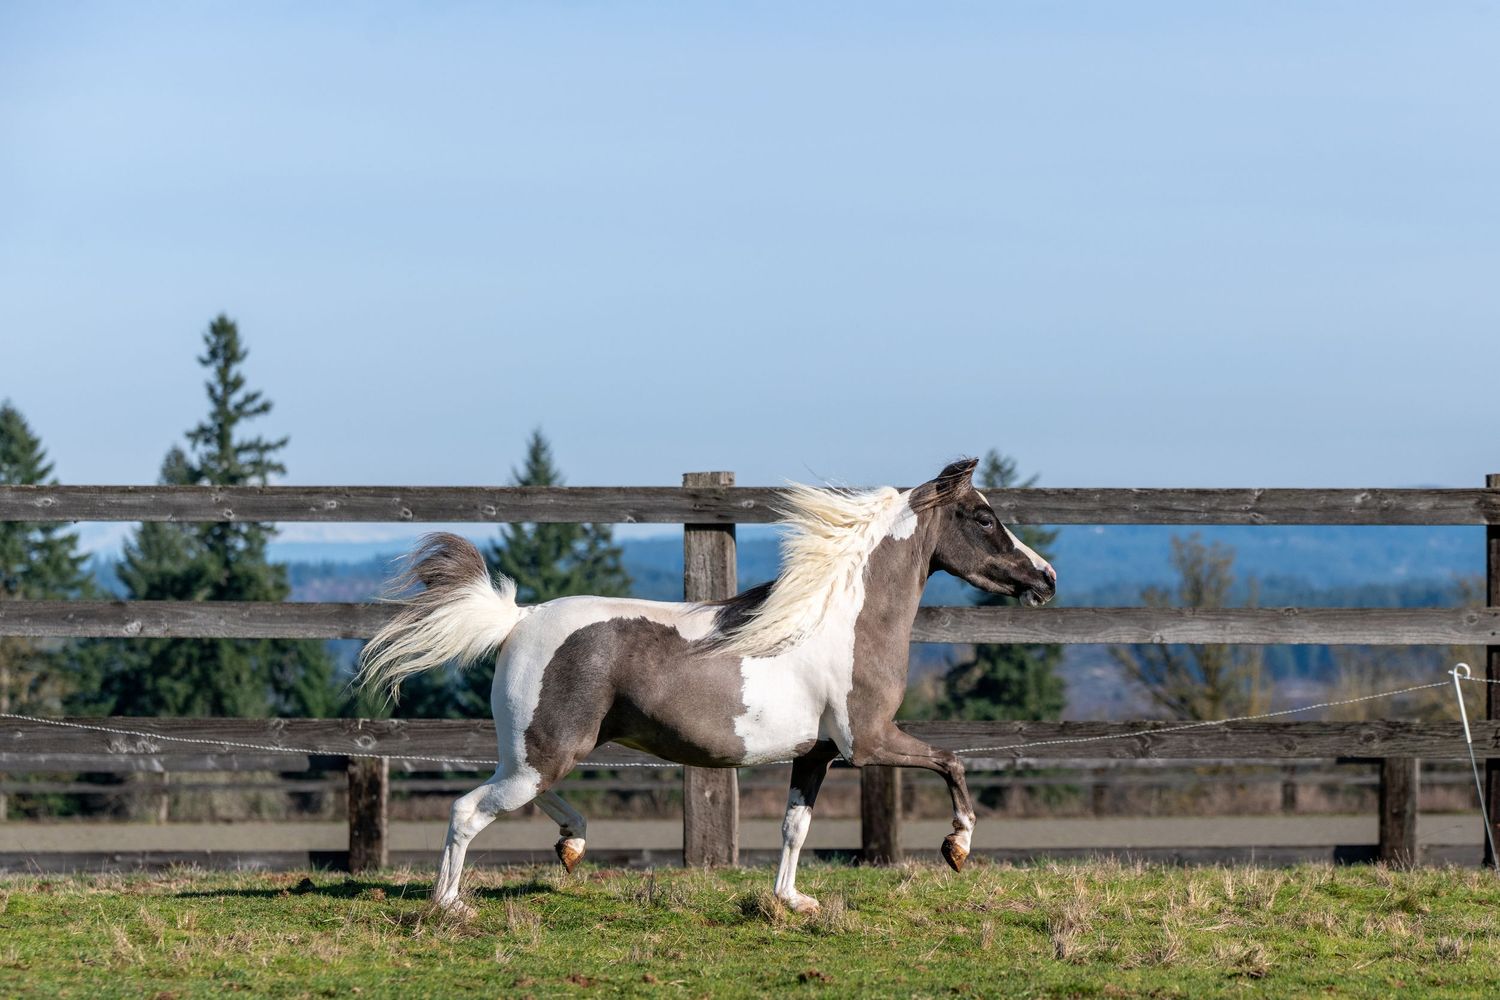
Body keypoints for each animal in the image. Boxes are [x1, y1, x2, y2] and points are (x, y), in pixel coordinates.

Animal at [357, 458, 1057, 915]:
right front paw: (957, 848)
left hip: (544, 753)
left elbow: (794, 828)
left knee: (525, 799)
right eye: (982, 517)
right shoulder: (870, 742)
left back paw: (572, 846)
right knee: (468, 809)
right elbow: (952, 761)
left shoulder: (817, 754)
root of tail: (519, 619)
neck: (841, 619)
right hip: (544, 754)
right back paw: (450, 907)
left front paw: (792, 900)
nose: (1045, 577)